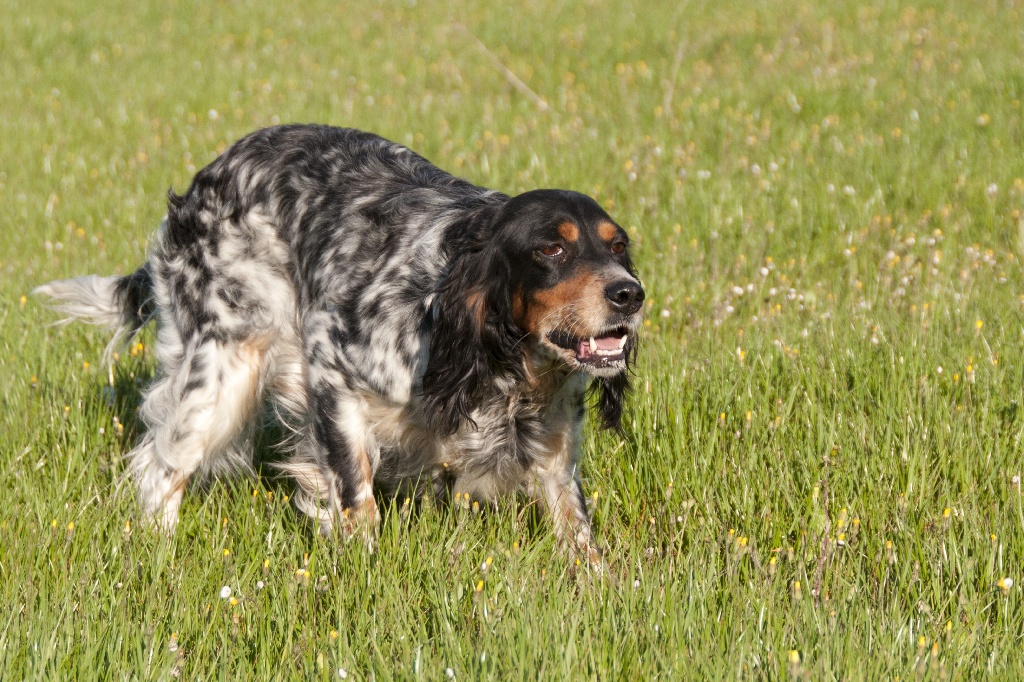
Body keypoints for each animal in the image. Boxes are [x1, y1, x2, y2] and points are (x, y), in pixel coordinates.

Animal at [36, 123, 643, 557]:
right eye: (551, 249)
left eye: (617, 246)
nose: (630, 294)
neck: (496, 368)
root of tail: (196, 189)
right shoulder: (330, 366)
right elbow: (357, 498)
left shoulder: (557, 447)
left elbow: (579, 533)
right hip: (222, 374)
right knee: (161, 468)